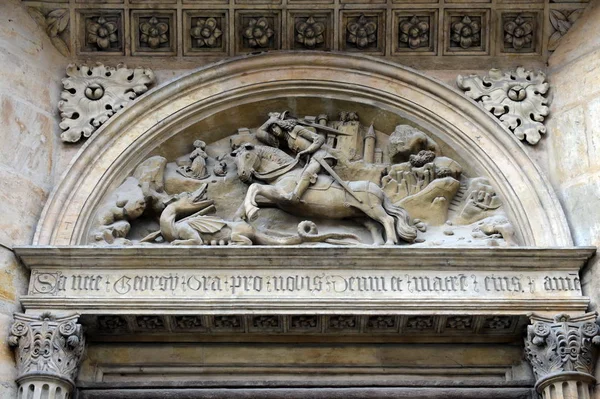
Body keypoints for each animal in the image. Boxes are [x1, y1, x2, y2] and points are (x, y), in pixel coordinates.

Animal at [230, 142, 418, 245]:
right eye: (236, 159)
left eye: (247, 156)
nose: (242, 175)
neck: (284, 173)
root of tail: (379, 189)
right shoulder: (275, 200)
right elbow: (251, 196)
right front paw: (240, 217)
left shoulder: (280, 194)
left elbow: (255, 187)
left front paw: (252, 212)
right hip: (359, 215)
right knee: (375, 226)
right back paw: (376, 245)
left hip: (373, 209)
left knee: (388, 220)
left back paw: (390, 243)